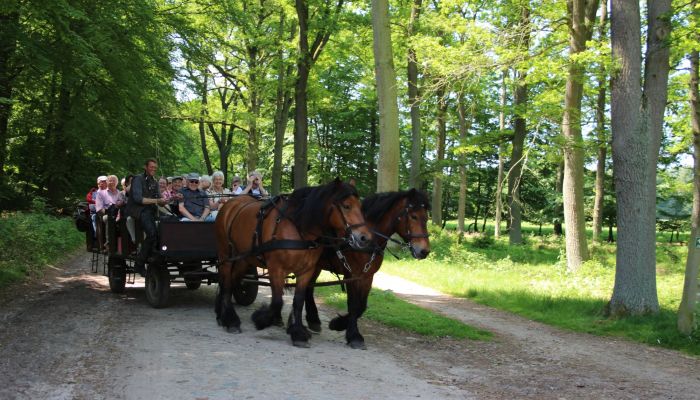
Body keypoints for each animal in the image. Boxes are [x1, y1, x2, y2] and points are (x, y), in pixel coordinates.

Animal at [215, 178, 372, 346]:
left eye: (361, 207)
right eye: (346, 206)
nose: (365, 238)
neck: (298, 228)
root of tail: (230, 203)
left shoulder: (306, 271)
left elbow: (298, 301)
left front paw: (297, 332)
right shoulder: (276, 268)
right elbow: (277, 301)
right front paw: (261, 319)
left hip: (244, 259)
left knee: (231, 281)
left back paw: (221, 312)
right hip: (225, 254)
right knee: (226, 283)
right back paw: (230, 320)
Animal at [306, 189, 432, 348]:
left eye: (426, 218)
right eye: (414, 216)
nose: (424, 251)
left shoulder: (367, 276)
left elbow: (361, 306)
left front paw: (339, 324)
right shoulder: (351, 275)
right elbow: (353, 305)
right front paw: (353, 336)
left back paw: (313, 320)